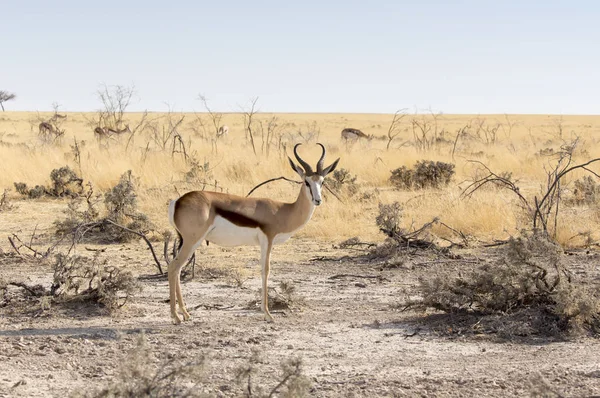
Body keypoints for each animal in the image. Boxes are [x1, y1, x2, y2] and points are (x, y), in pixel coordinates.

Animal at [166, 142, 340, 324]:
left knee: (177, 268)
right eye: (306, 181)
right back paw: (176, 316)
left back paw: (185, 313)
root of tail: (177, 201)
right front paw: (268, 314)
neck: (283, 211)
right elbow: (266, 270)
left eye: (322, 181)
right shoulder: (267, 239)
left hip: (189, 241)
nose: (317, 200)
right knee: (173, 267)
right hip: (192, 240)